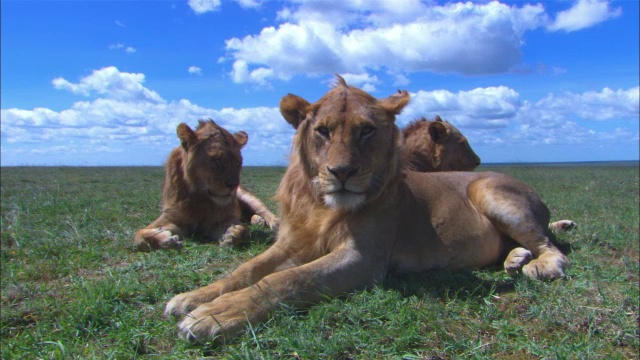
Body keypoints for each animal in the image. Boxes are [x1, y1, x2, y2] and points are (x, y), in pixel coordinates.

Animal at [134, 119, 276, 252]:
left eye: (237, 162)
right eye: (217, 160)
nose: (234, 184)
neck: (201, 198)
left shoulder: (220, 221)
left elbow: (243, 229)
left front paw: (232, 236)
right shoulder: (171, 218)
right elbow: (139, 235)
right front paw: (168, 241)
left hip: (248, 197)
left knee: (264, 211)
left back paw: (272, 223)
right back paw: (257, 220)